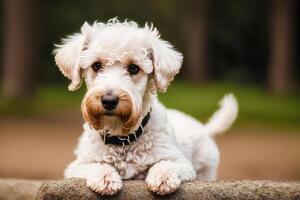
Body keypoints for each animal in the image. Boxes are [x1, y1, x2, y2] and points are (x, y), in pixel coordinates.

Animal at [53, 19, 237, 195]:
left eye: (134, 68)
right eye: (96, 65)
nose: (109, 100)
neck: (123, 139)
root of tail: (205, 129)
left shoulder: (181, 162)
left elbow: (165, 164)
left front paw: (163, 177)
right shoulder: (76, 166)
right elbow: (96, 165)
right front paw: (105, 177)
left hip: (206, 170)